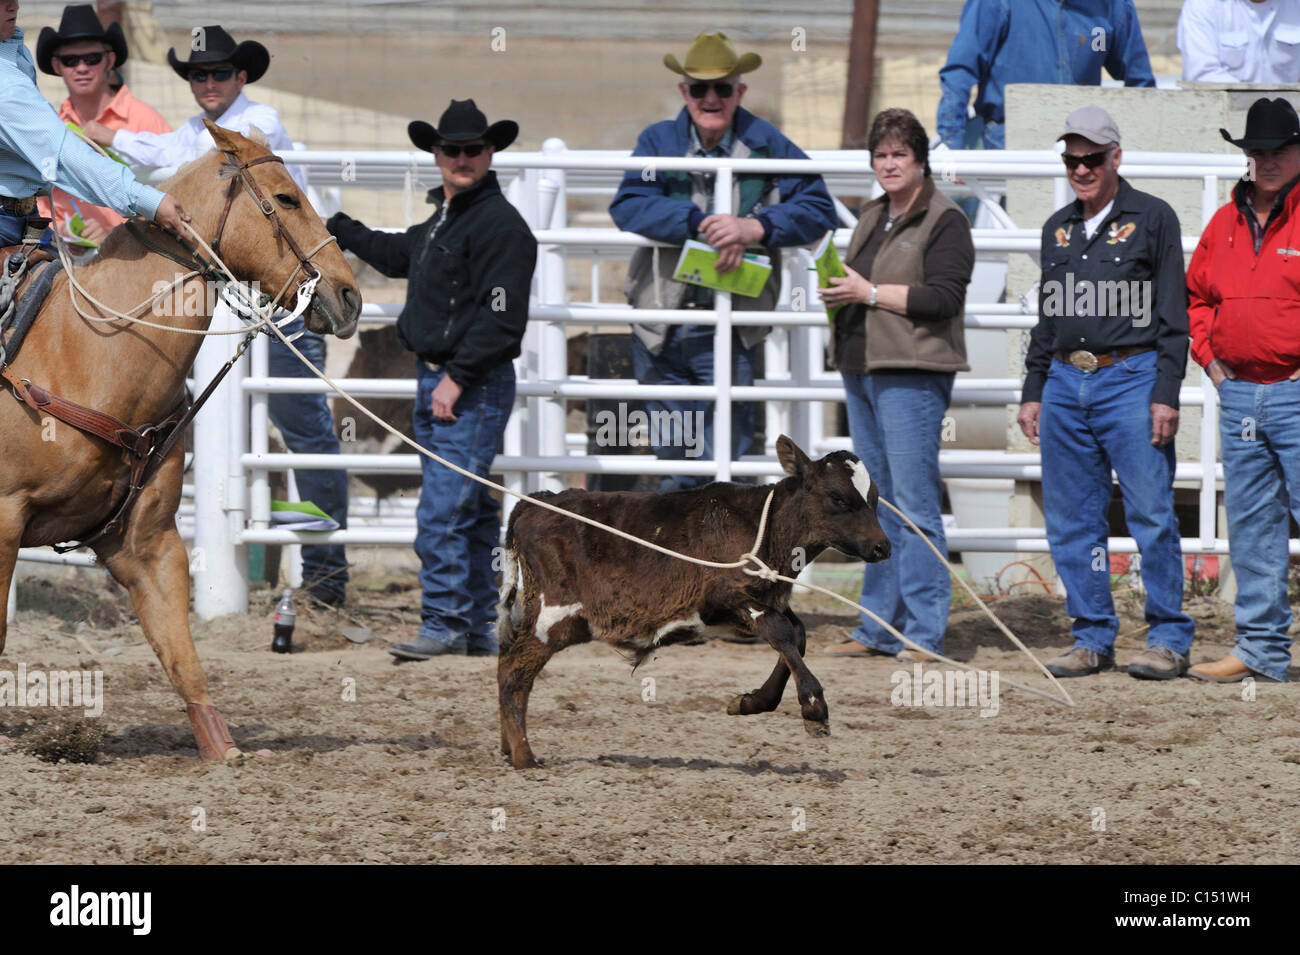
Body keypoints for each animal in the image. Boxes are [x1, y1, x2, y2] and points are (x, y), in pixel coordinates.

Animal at [0, 121, 361, 759]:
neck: (84, 351)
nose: (349, 296)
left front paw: (224, 749)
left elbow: (181, 653)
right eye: (287, 198)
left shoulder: (146, 542)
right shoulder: (3, 517)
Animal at [496, 435, 892, 769]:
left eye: (873, 498)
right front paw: (815, 708)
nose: (882, 546)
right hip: (554, 617)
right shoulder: (731, 599)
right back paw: (524, 756)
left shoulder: (767, 600)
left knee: (508, 666)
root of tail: (540, 502)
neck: (766, 527)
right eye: (837, 497)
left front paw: (751, 702)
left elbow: (797, 635)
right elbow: (781, 634)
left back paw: (509, 748)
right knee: (513, 672)